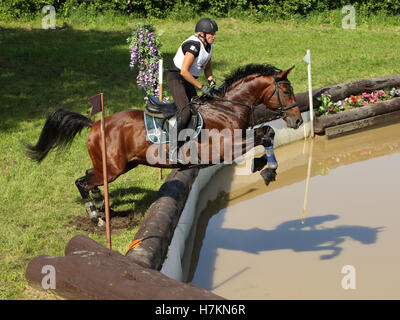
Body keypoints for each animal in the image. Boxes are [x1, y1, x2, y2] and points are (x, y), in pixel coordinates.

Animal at [26, 62, 302, 222]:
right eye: (286, 91)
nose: (298, 120)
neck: (227, 108)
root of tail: (94, 123)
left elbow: (267, 132)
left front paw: (264, 166)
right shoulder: (226, 149)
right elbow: (265, 133)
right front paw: (267, 168)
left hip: (120, 165)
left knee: (88, 176)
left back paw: (103, 205)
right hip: (114, 168)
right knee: (81, 181)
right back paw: (96, 216)